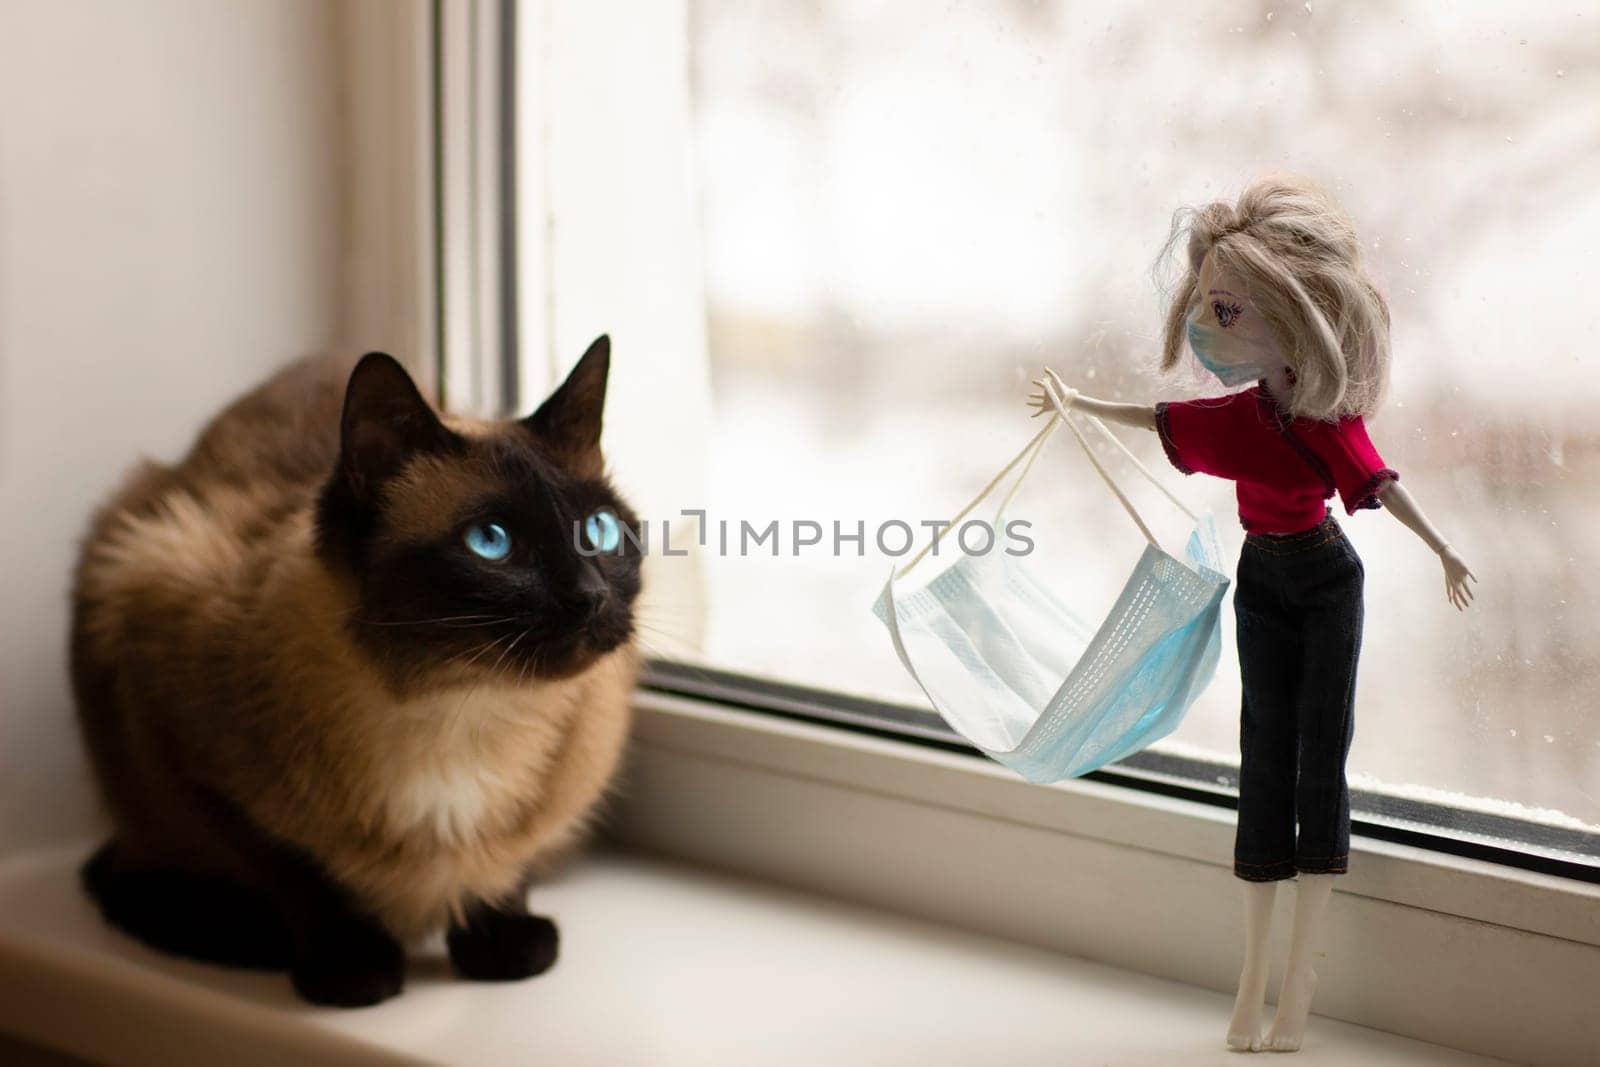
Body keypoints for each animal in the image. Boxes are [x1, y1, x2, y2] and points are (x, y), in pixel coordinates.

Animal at [72, 337, 640, 1004]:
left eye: (600, 531)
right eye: (492, 542)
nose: (591, 598)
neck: (460, 705)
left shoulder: (561, 791)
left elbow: (507, 863)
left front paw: (500, 949)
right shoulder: (193, 759)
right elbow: (302, 877)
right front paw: (356, 971)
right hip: (121, 542)